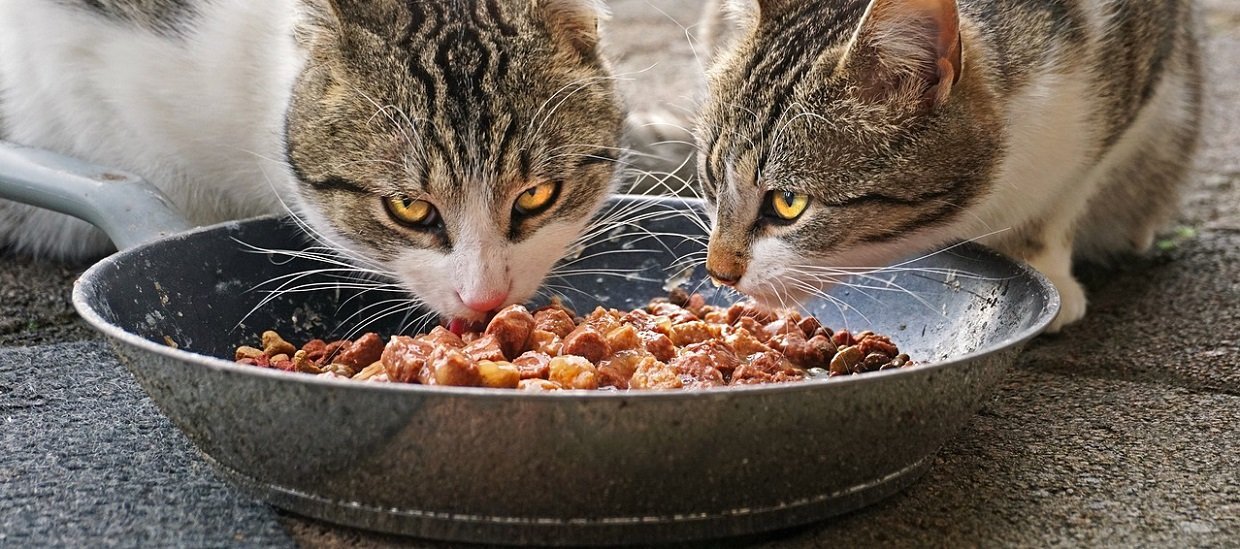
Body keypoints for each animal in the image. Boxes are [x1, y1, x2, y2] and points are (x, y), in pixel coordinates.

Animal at [694, 0, 1195, 332]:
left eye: (788, 202)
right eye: (713, 180)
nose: (718, 272)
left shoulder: (1133, 77)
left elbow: (1065, 195)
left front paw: (1045, 264)